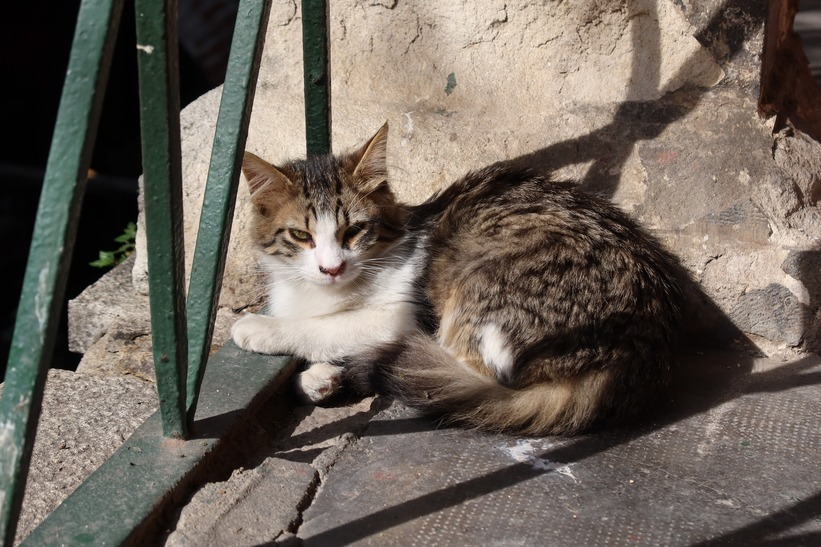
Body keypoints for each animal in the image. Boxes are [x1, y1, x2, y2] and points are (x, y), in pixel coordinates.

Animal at [231, 124, 684, 436]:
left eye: (354, 231)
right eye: (301, 236)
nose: (331, 268)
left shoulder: (399, 314)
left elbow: (323, 328)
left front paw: (261, 329)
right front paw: (319, 378)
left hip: (477, 289)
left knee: (450, 373)